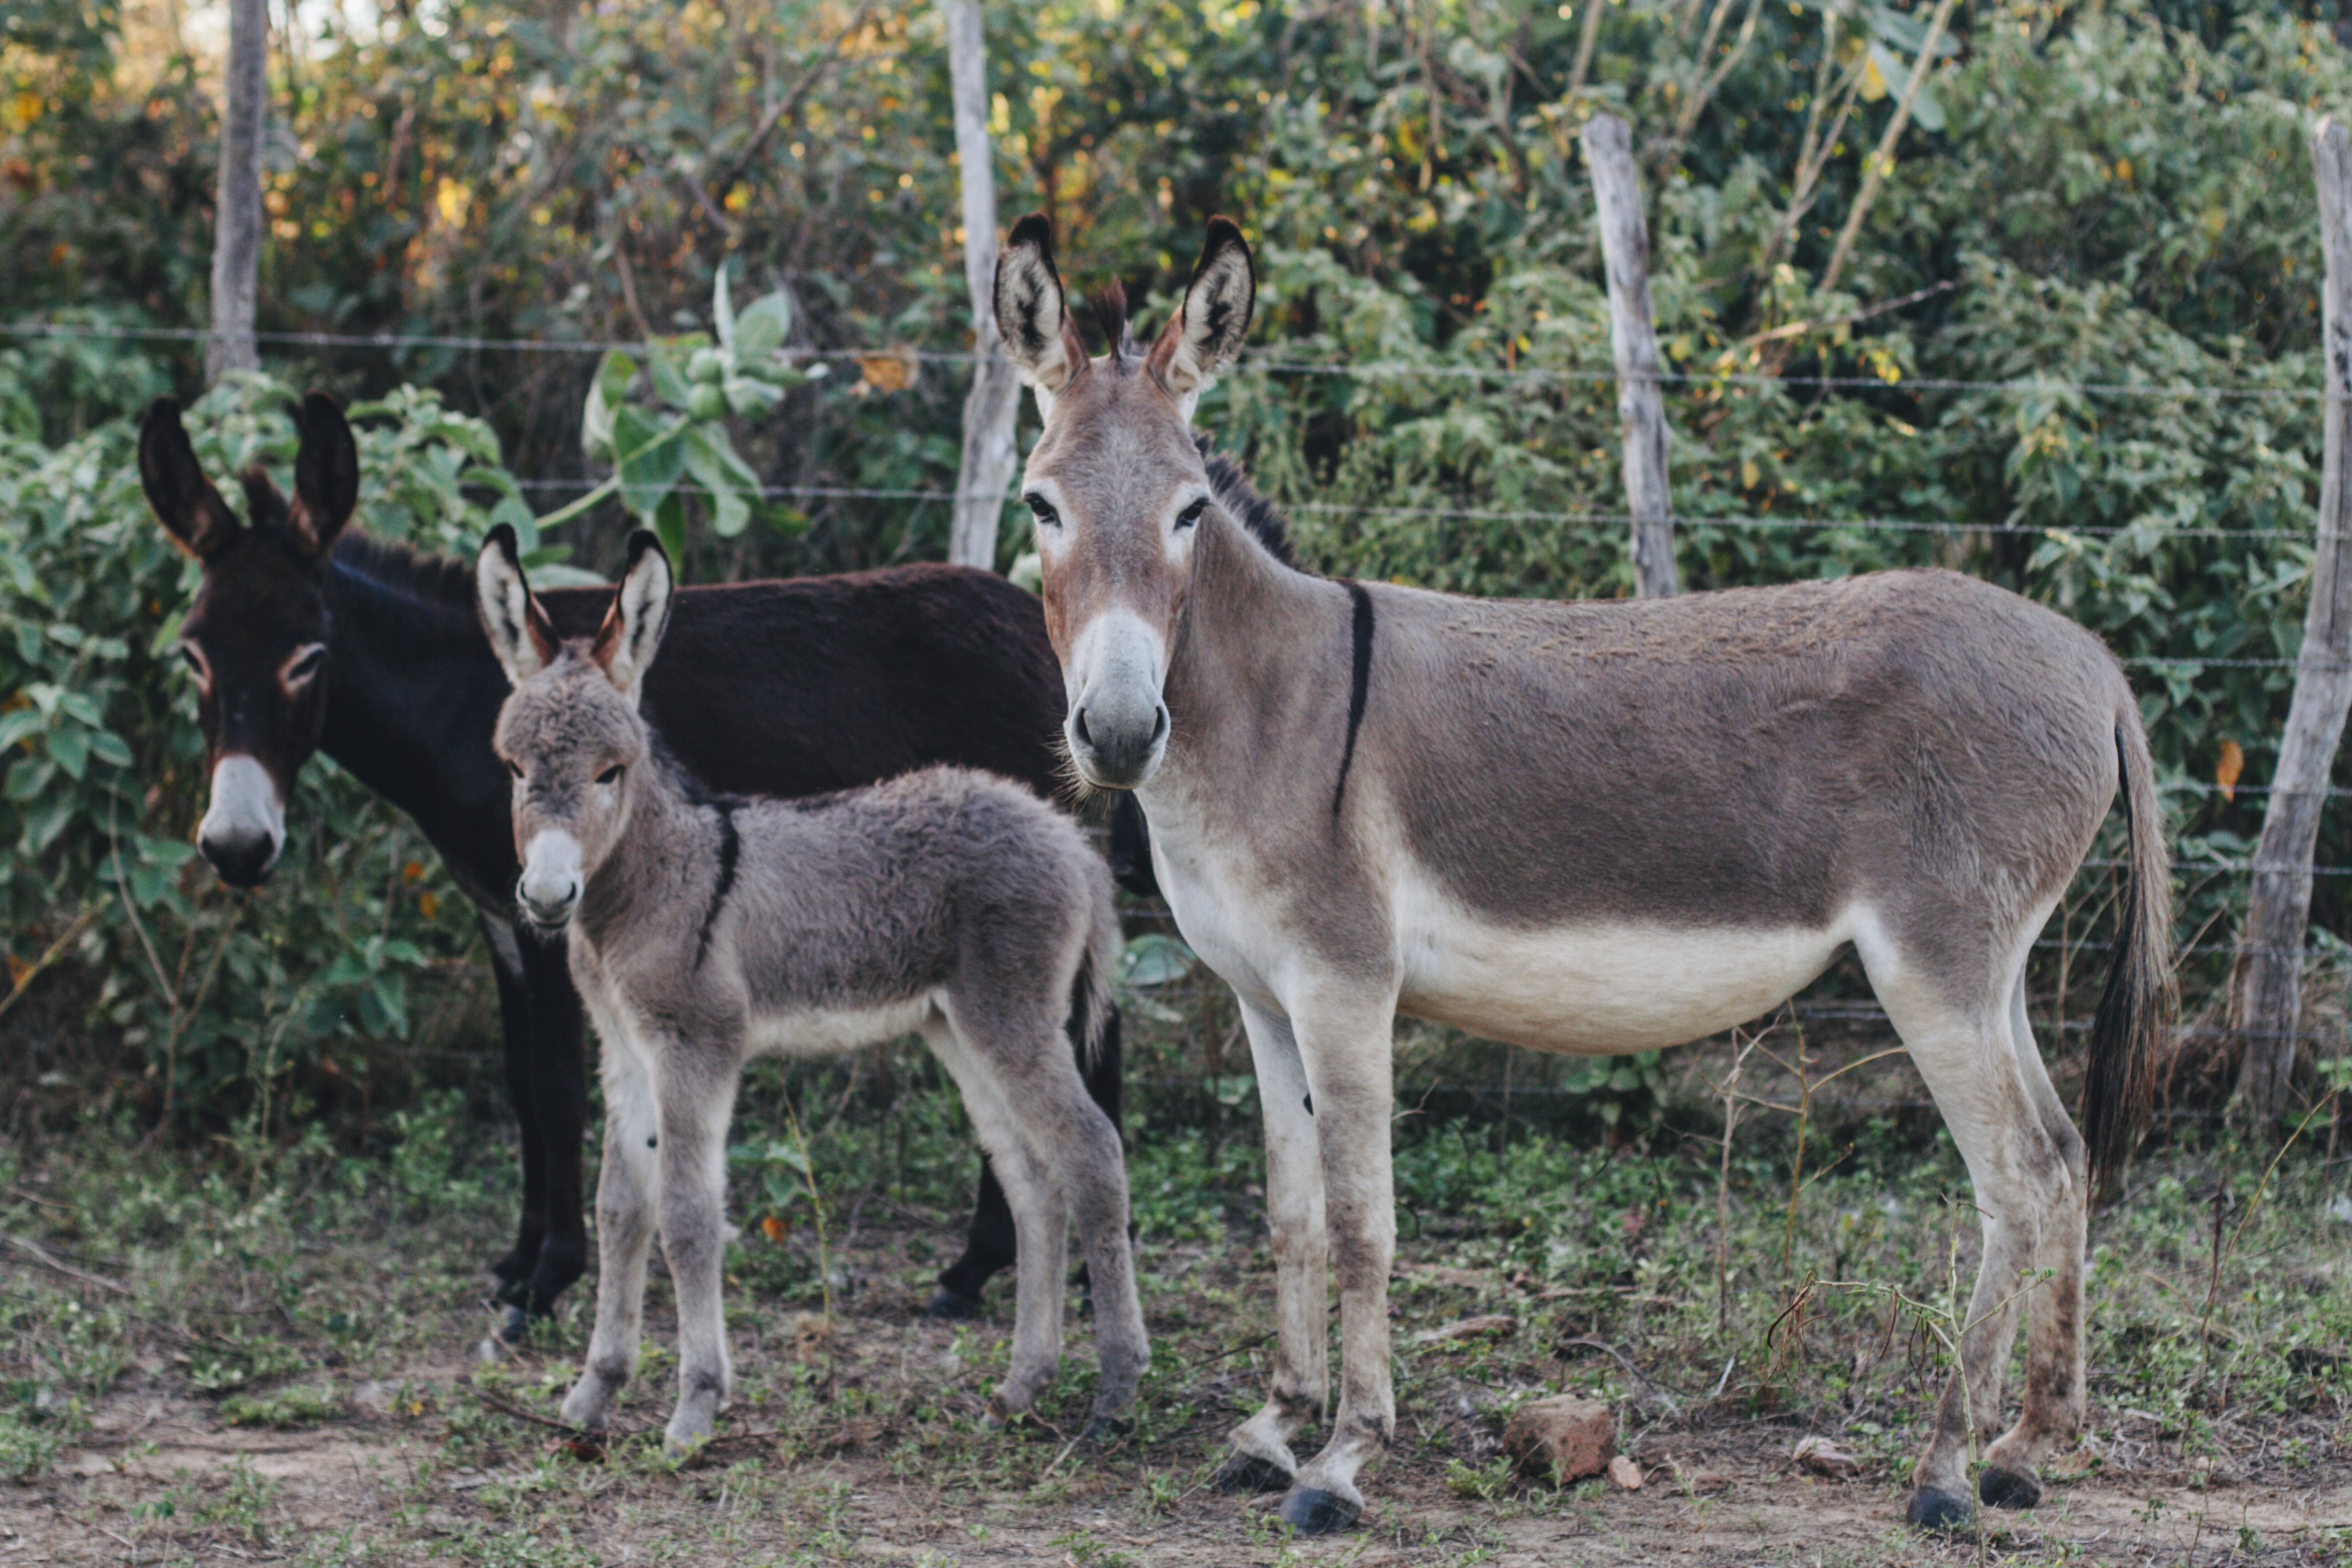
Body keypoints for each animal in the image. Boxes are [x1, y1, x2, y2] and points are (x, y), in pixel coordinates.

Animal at [473, 534, 1143, 1457]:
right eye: (513, 767)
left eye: (612, 772)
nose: (544, 898)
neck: (654, 880)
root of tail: (1069, 838)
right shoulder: (625, 1051)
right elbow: (620, 1211)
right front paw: (591, 1395)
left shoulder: (697, 1045)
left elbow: (687, 1216)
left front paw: (694, 1408)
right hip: (961, 1028)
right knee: (1032, 1180)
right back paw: (1020, 1385)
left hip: (1015, 1019)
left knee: (1092, 1156)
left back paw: (1115, 1393)